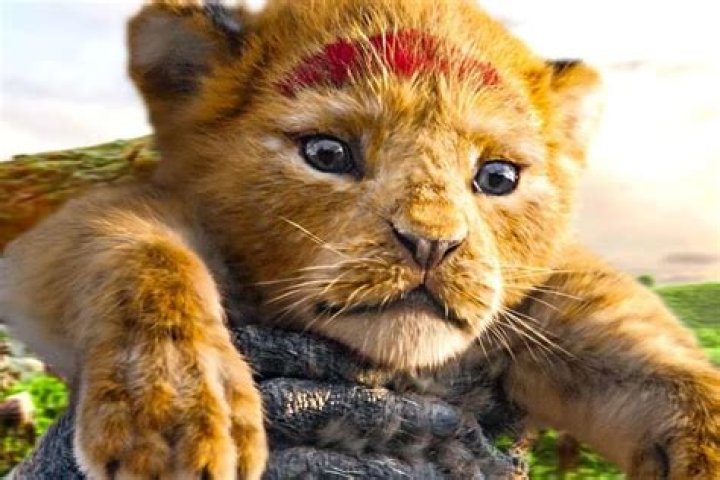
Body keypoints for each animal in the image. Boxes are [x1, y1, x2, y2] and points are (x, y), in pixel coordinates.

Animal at [1, 0, 717, 478]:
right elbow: (135, 247)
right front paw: (180, 410)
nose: (431, 245)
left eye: (497, 176)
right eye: (327, 152)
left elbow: (652, 356)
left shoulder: (547, 305)